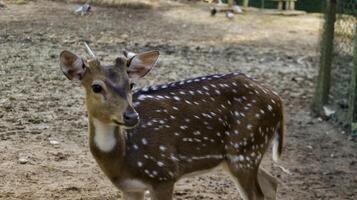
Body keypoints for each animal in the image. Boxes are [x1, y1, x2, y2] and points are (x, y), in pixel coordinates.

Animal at [60, 47, 284, 200]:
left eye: (131, 84)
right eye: (96, 87)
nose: (131, 116)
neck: (122, 159)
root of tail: (278, 100)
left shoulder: (164, 174)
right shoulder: (130, 187)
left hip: (245, 151)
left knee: (259, 193)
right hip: (239, 156)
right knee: (272, 182)